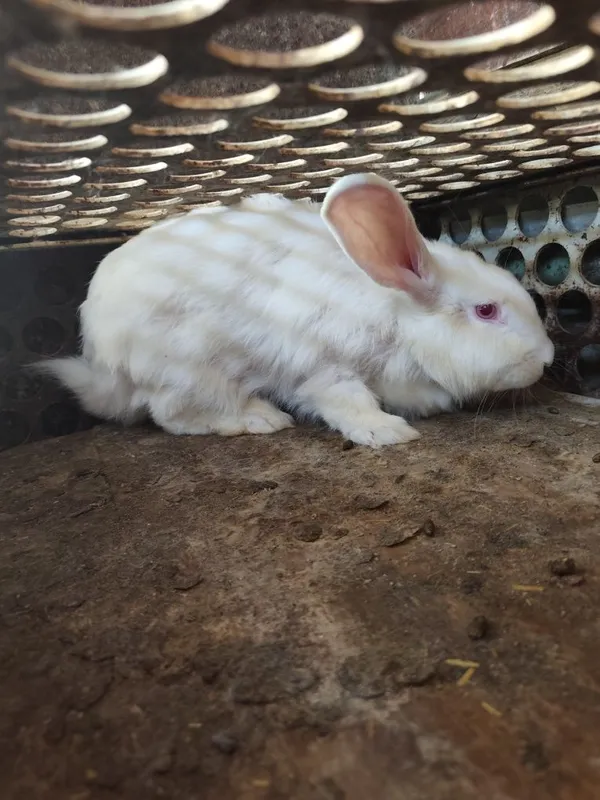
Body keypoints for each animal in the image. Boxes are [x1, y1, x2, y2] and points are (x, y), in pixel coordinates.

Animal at [39, 173, 554, 447]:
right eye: (486, 311)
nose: (547, 359)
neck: (395, 315)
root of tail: (102, 361)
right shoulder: (326, 368)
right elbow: (347, 403)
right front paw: (388, 432)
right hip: (190, 369)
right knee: (173, 414)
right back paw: (260, 418)